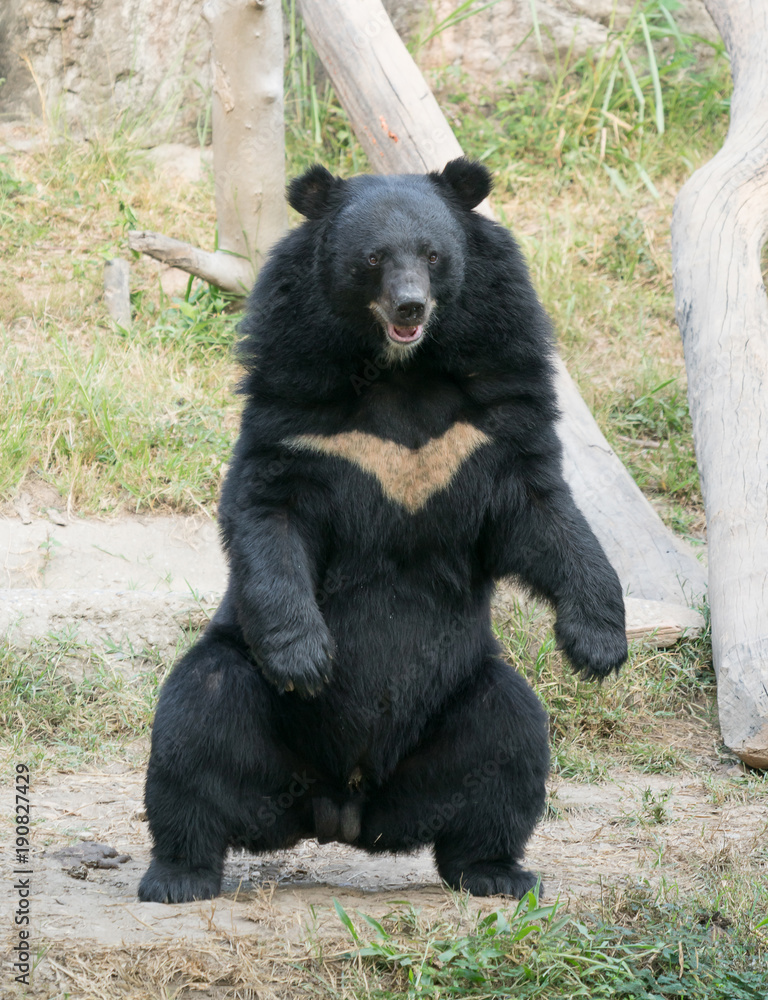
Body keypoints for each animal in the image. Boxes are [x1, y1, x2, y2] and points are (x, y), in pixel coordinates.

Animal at [138, 158, 627, 905]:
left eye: (434, 255)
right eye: (372, 259)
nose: (410, 309)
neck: (403, 372)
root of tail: (344, 808)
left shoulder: (491, 413)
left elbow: (542, 513)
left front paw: (598, 644)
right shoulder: (299, 404)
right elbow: (269, 511)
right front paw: (309, 659)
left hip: (465, 694)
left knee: (509, 742)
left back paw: (498, 872)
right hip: (242, 685)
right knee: (196, 730)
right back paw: (177, 875)